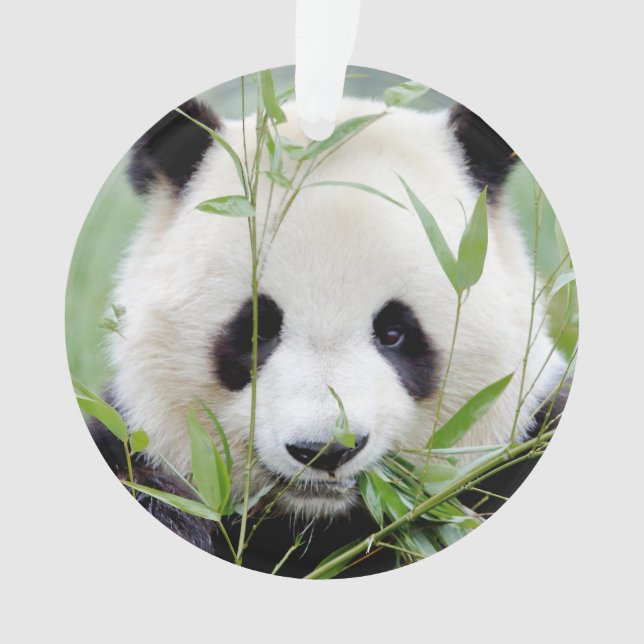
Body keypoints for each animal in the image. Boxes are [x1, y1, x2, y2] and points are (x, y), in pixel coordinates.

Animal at [89, 94, 570, 577]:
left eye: (394, 333)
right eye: (256, 330)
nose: (325, 450)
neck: (316, 524)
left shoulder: (523, 435)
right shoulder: (133, 433)